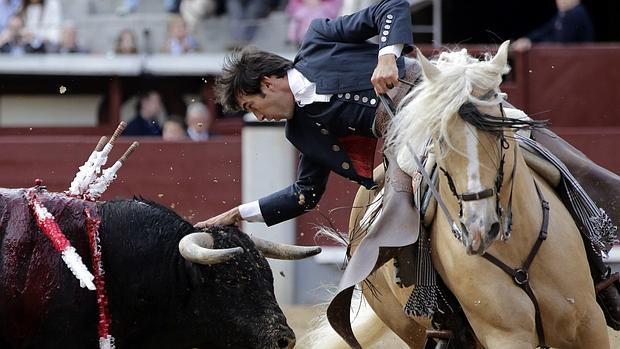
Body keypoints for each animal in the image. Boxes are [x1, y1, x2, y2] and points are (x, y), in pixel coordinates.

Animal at [306, 41, 612, 348]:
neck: (516, 248)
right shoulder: (506, 334)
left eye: (498, 131)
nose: (479, 229)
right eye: (439, 139)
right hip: (411, 329)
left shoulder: (589, 322)